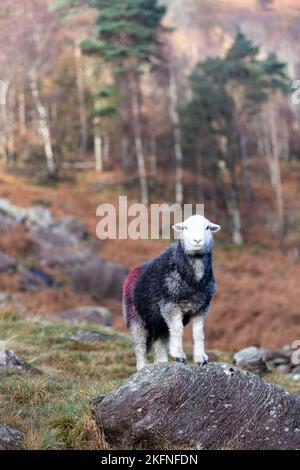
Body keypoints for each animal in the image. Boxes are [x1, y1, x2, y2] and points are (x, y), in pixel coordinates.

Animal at [122, 215, 220, 372]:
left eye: (207, 227)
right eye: (185, 227)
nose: (197, 240)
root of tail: (132, 272)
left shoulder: (201, 308)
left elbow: (199, 334)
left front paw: (201, 358)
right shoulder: (170, 305)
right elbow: (178, 330)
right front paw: (179, 355)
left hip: (159, 321)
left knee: (159, 343)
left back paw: (162, 364)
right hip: (135, 317)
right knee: (139, 346)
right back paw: (143, 368)